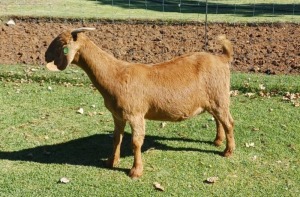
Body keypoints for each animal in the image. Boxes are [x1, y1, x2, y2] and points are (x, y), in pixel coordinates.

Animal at [45, 27, 236, 179]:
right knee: (218, 120)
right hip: (213, 100)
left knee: (228, 122)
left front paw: (135, 171)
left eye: (61, 43)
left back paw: (228, 151)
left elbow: (136, 142)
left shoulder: (135, 114)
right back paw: (217, 141)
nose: (45, 56)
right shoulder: (118, 115)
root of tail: (223, 58)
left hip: (220, 97)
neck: (116, 75)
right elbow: (116, 138)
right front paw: (111, 161)